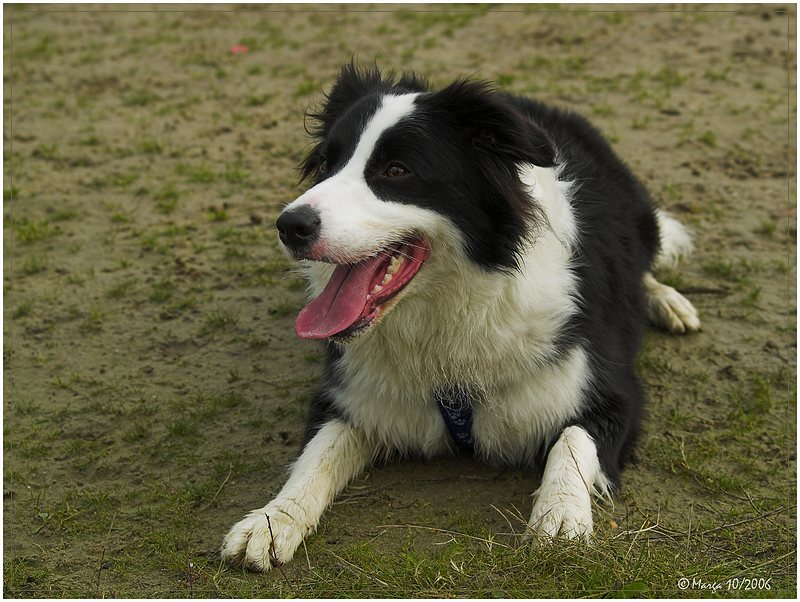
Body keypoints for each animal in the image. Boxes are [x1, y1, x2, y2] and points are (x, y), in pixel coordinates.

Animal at [220, 63, 700, 568]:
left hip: (638, 215)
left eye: (396, 170)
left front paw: (560, 518)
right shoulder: (349, 391)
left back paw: (666, 301)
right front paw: (271, 520)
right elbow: (317, 455)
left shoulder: (612, 393)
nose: (289, 225)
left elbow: (571, 443)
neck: (447, 314)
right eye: (326, 165)